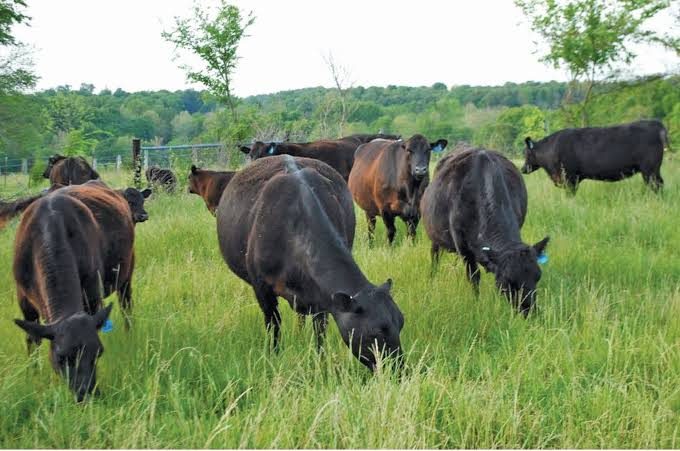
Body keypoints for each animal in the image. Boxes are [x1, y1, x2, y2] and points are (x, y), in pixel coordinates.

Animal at [12, 180, 151, 401]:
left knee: (126, 305)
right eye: (61, 358)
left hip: (127, 272)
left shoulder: (93, 294)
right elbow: (32, 339)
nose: (86, 393)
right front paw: (32, 374)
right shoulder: (24, 300)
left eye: (98, 352)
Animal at [216, 155, 404, 370]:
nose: (398, 369)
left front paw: (320, 359)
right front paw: (273, 356)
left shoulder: (322, 298)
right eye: (375, 333)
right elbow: (273, 324)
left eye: (401, 323)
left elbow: (320, 330)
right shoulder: (261, 287)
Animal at [421, 148, 549, 315]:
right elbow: (474, 276)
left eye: (538, 276)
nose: (529, 311)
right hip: (435, 237)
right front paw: (476, 302)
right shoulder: (463, 248)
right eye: (507, 281)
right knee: (435, 256)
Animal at [521, 120, 669, 194]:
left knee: (656, 186)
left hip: (649, 170)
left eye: (526, 153)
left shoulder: (570, 179)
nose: (522, 169)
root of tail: (655, 123)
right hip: (653, 170)